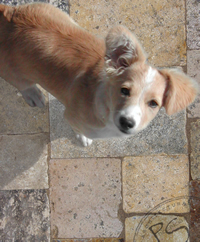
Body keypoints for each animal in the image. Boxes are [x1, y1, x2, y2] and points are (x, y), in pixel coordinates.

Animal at [0, 2, 198, 146]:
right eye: (124, 90)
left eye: (153, 104)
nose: (127, 123)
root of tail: (9, 14)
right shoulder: (71, 116)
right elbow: (78, 129)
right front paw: (83, 138)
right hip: (10, 70)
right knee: (22, 83)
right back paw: (33, 94)